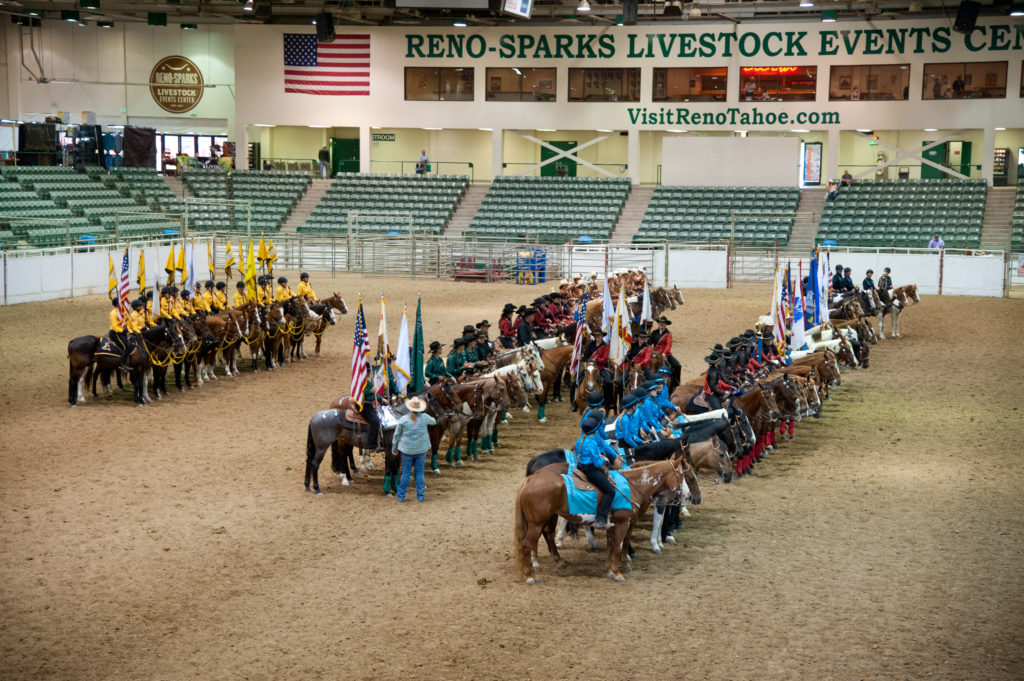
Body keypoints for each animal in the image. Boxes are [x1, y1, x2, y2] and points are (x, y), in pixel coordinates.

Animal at [516, 454, 692, 581]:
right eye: (682, 475)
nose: (688, 495)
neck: (634, 485)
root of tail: (530, 479)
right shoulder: (623, 523)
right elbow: (618, 546)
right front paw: (618, 572)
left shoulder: (613, 524)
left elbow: (612, 545)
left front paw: (610, 569)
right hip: (536, 523)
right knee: (528, 544)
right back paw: (530, 574)